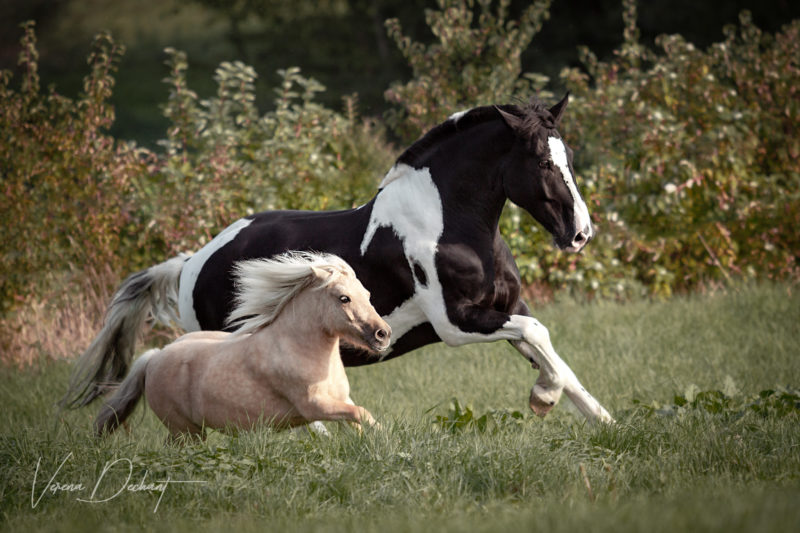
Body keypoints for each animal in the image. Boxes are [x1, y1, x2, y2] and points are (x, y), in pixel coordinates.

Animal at [94, 252, 391, 438]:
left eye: (367, 294)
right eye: (344, 298)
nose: (383, 334)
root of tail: (153, 358)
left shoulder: (341, 400)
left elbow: (360, 419)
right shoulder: (315, 406)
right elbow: (360, 413)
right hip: (185, 430)